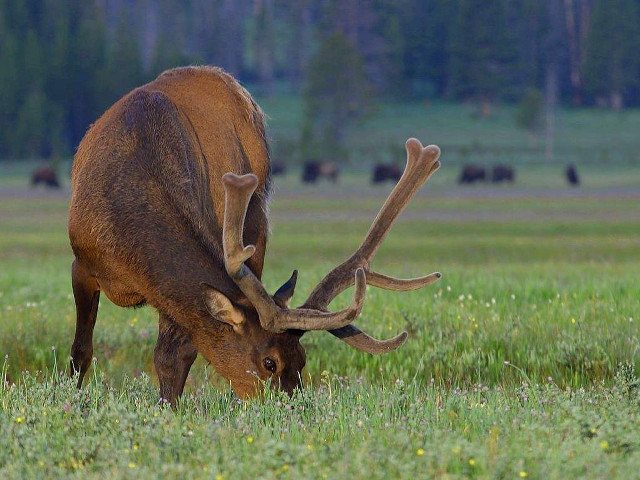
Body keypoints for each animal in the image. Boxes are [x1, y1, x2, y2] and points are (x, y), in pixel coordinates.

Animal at [68, 66, 442, 406]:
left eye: (302, 360)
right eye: (269, 362)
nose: (292, 408)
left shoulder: (172, 297)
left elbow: (172, 357)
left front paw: (168, 409)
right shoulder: (82, 263)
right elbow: (81, 350)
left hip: (256, 224)